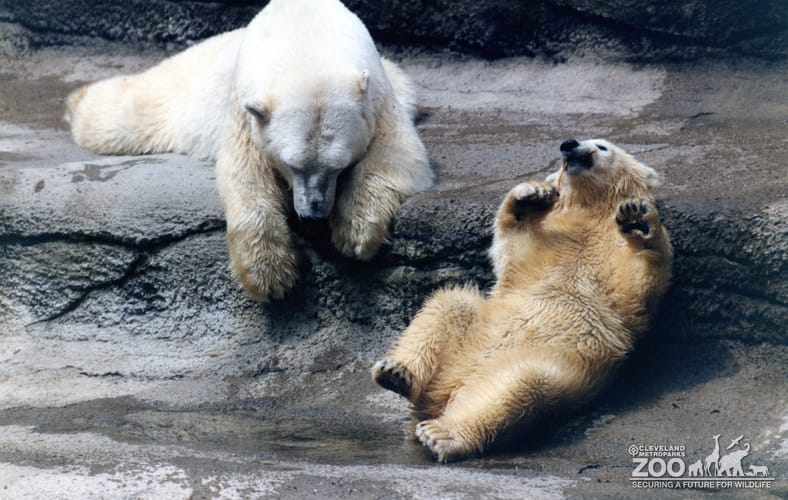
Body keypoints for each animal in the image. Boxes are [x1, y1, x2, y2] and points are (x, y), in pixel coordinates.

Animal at [65, 0, 433, 301]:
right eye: (292, 164)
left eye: (338, 165)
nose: (314, 211)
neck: (307, 37)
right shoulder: (245, 111)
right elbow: (245, 174)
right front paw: (270, 276)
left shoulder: (377, 96)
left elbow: (397, 153)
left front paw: (355, 234)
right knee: (123, 116)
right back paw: (76, 101)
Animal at [373, 138, 672, 462]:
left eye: (602, 146)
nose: (569, 144)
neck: (591, 214)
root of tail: (446, 395)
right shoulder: (551, 240)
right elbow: (511, 249)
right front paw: (530, 194)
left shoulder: (611, 259)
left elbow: (637, 287)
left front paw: (638, 220)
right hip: (468, 344)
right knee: (449, 305)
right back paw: (397, 374)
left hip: (557, 368)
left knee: (519, 387)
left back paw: (442, 433)